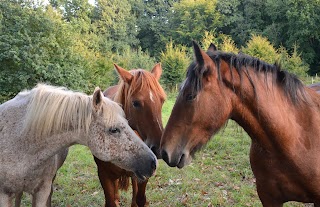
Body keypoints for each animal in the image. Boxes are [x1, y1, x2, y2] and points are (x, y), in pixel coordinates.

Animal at [94, 63, 166, 207]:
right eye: (136, 103)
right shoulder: (104, 175)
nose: (159, 149)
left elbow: (140, 199)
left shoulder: (144, 174)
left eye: (162, 101)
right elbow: (111, 201)